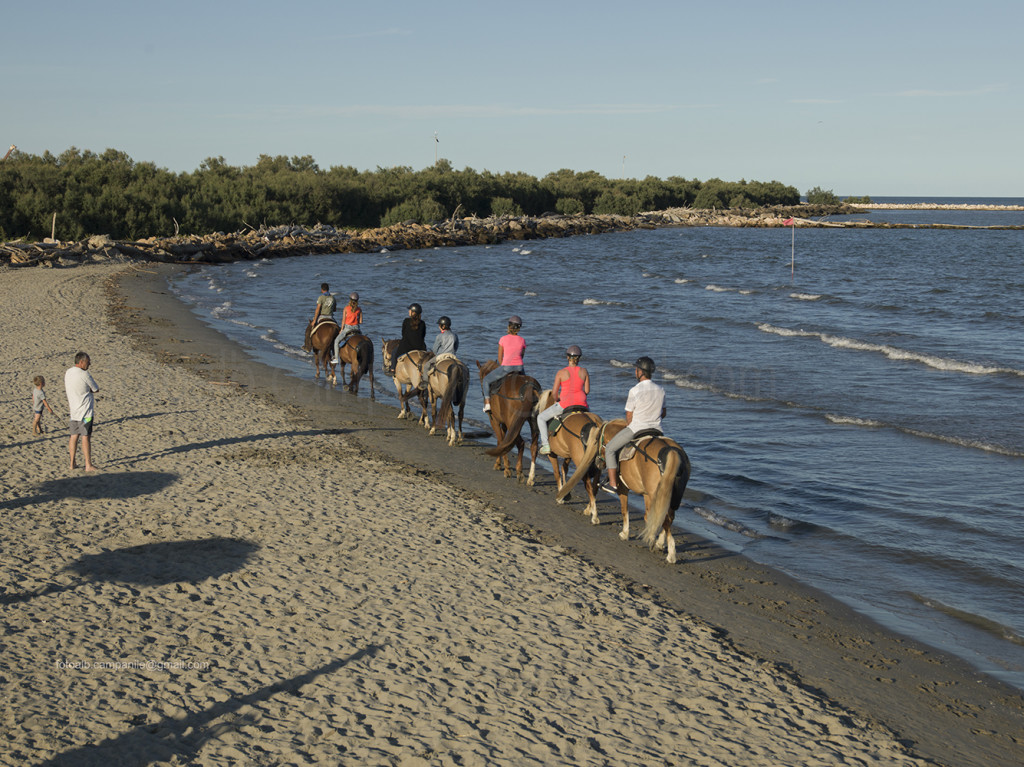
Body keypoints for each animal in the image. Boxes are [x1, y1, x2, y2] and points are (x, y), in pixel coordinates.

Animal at [593, 419, 688, 561]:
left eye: (597, 439)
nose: (598, 463)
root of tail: (671, 451)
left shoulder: (622, 489)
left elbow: (624, 510)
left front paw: (625, 533)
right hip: (671, 496)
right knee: (666, 518)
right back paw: (661, 544)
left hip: (654, 495)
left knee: (659, 518)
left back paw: (668, 552)